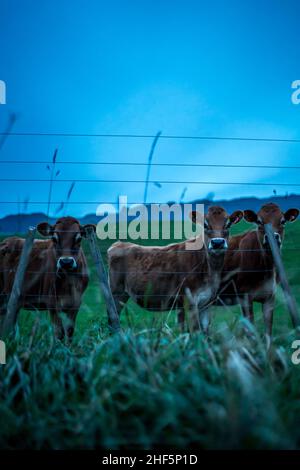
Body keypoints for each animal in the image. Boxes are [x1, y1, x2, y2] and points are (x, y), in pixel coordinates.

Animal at [108, 206, 244, 330]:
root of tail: (119, 243)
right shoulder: (190, 301)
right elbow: (195, 331)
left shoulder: (206, 303)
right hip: (116, 293)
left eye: (228, 225)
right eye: (205, 225)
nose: (217, 243)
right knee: (112, 320)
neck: (210, 270)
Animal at [219, 204, 298, 336]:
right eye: (259, 222)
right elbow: (251, 332)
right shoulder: (244, 297)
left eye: (283, 221)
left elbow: (268, 332)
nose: (273, 237)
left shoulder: (270, 297)